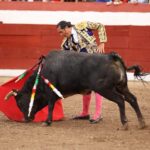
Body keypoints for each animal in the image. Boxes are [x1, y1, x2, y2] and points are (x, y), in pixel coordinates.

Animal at [5, 50, 145, 129]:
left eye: (20, 102)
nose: (25, 119)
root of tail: (112, 57)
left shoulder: (51, 92)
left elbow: (50, 106)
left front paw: (47, 122)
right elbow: (52, 105)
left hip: (104, 89)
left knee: (120, 100)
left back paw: (125, 123)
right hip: (121, 86)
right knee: (132, 99)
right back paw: (142, 123)